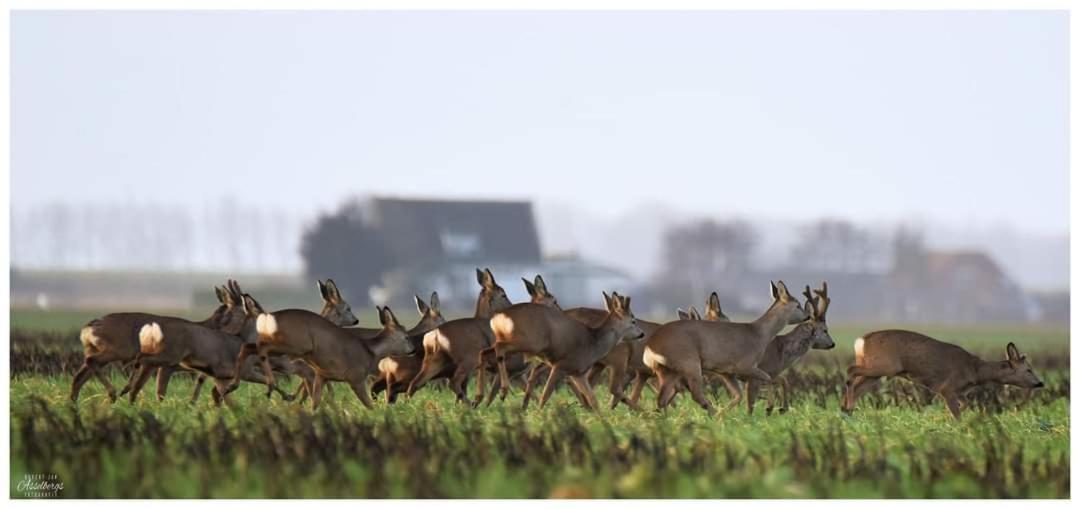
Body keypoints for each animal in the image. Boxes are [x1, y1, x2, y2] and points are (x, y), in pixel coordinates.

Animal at [72, 280, 246, 404]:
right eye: (244, 310)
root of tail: (87, 328)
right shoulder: (168, 365)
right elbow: (160, 392)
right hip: (116, 349)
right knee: (90, 362)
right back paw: (113, 393)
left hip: (96, 349)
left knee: (79, 376)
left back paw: (74, 404)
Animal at [403, 269, 524, 404]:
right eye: (503, 294)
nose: (511, 307)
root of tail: (436, 334)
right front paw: (499, 395)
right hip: (468, 360)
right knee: (453, 383)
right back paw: (472, 404)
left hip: (435, 361)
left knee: (414, 384)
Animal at [479, 291, 643, 410]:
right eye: (633, 321)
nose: (642, 334)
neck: (593, 343)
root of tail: (499, 317)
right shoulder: (561, 365)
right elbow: (546, 394)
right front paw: (540, 414)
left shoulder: (578, 372)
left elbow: (593, 399)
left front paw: (602, 420)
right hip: (530, 342)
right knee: (499, 348)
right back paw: (503, 390)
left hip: (510, 340)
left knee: (484, 352)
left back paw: (479, 398)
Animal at [639, 280, 812, 417]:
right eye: (798, 304)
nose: (808, 316)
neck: (759, 334)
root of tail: (650, 347)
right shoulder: (745, 365)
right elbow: (767, 379)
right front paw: (771, 407)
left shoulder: (727, 372)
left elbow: (739, 395)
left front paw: (727, 415)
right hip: (689, 363)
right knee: (695, 394)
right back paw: (712, 414)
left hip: (668, 370)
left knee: (662, 398)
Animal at [838, 330, 1041, 419]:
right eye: (1028, 369)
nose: (1040, 383)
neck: (974, 370)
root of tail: (860, 341)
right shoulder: (947, 388)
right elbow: (957, 413)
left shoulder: (959, 392)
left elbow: (965, 405)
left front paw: (942, 417)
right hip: (884, 366)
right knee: (850, 370)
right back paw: (847, 407)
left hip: (876, 371)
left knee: (857, 385)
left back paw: (846, 409)